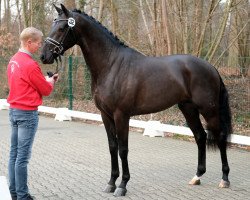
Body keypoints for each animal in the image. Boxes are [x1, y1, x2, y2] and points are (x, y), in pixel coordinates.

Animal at [40, 4, 232, 197]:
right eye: (53, 25)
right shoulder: (105, 115)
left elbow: (123, 149)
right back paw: (197, 176)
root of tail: (211, 67)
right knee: (200, 136)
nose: (44, 56)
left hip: (209, 110)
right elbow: (112, 147)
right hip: (188, 109)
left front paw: (122, 185)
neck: (111, 65)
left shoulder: (121, 115)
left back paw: (224, 179)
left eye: (62, 28)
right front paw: (111, 182)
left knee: (220, 137)